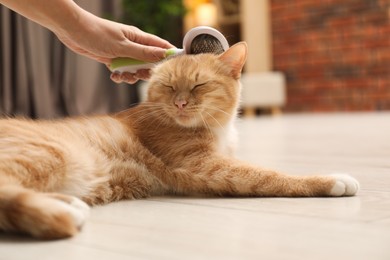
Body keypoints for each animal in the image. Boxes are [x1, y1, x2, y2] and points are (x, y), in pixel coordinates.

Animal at [0, 41, 360, 239]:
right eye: (170, 86)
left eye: (199, 85)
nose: (181, 103)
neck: (217, 128)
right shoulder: (205, 166)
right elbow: (271, 176)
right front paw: (331, 180)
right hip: (53, 155)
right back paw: (65, 211)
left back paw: (70, 205)